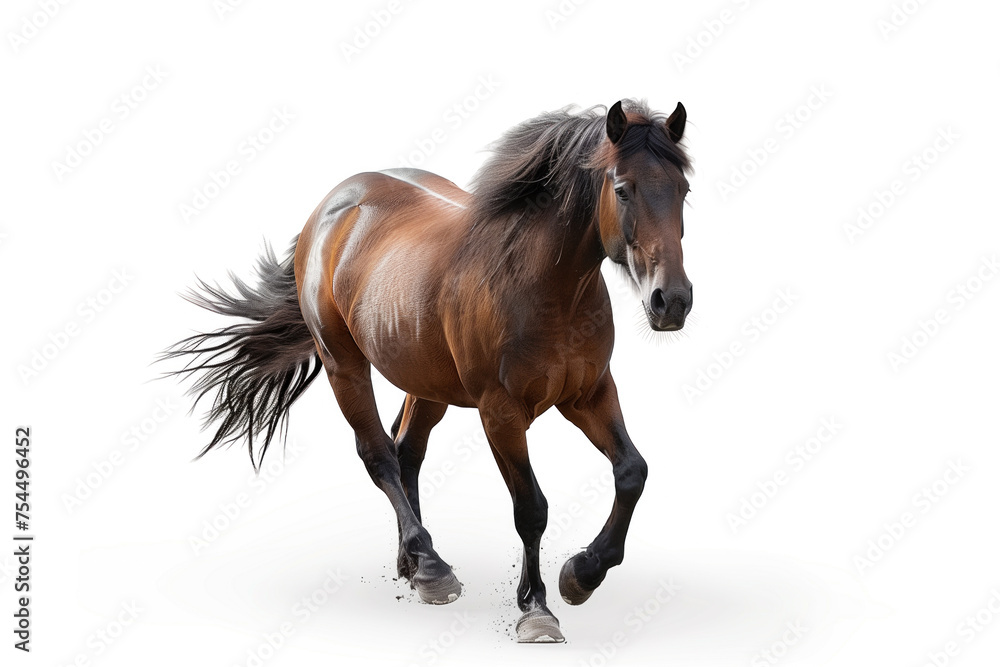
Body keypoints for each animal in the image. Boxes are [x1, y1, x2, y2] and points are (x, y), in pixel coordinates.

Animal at [164, 98, 693, 643]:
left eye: (683, 189)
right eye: (622, 189)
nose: (671, 301)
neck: (542, 286)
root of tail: (332, 206)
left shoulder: (589, 394)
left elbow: (632, 472)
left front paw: (582, 574)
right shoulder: (500, 414)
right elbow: (531, 508)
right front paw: (537, 608)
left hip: (426, 383)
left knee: (407, 453)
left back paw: (414, 564)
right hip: (344, 366)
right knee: (379, 456)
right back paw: (432, 567)